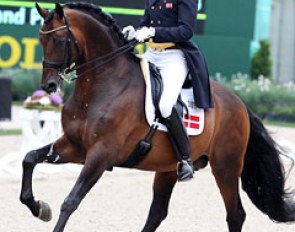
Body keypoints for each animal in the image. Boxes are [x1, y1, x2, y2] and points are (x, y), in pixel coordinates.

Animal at [20, 2, 295, 232]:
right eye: (41, 40)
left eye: (59, 39)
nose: (48, 86)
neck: (101, 86)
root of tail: (239, 103)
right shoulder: (74, 146)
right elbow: (29, 158)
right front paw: (40, 209)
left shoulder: (100, 155)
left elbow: (70, 201)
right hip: (168, 167)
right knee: (157, 213)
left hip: (226, 166)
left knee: (235, 214)